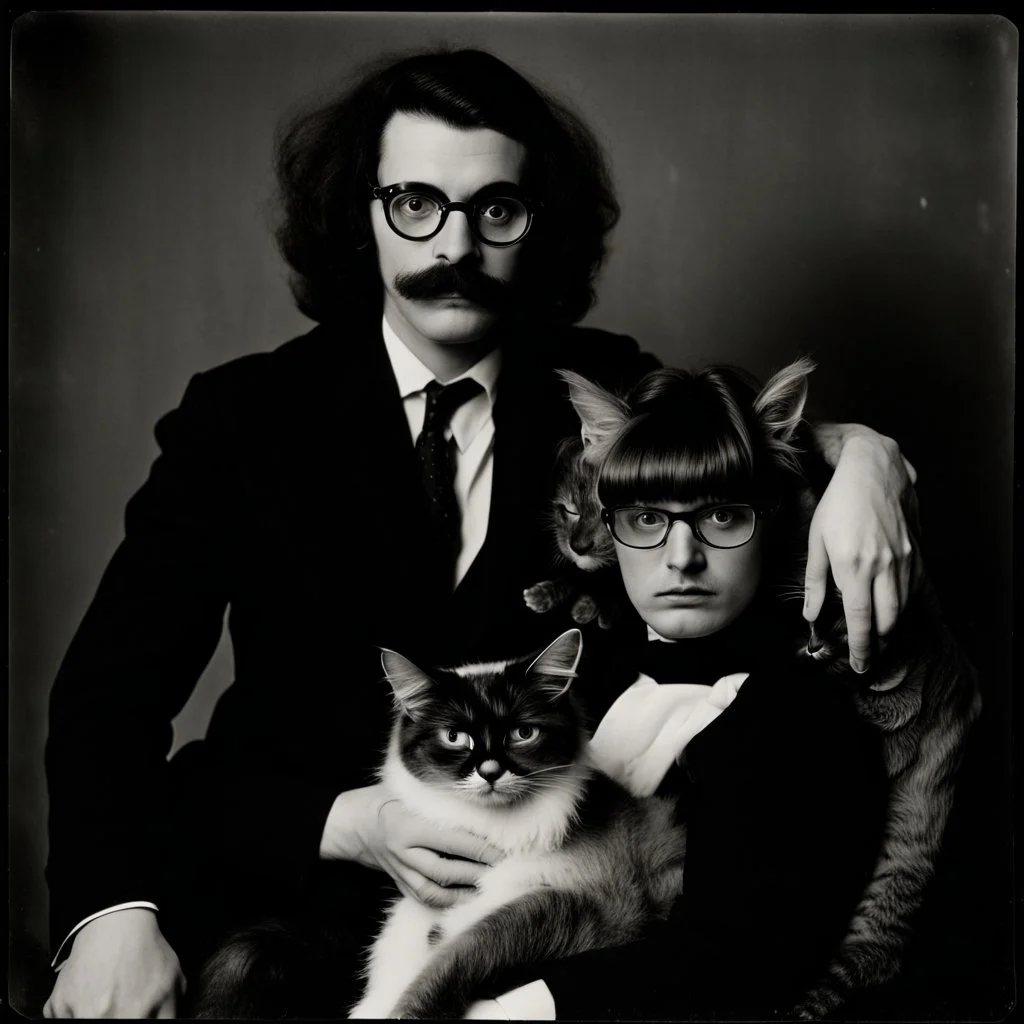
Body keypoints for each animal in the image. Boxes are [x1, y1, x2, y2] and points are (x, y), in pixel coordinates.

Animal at [346, 626, 688, 1019]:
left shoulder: (592, 908)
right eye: (454, 738)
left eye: (523, 734)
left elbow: (453, 958)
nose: (490, 772)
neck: (496, 828)